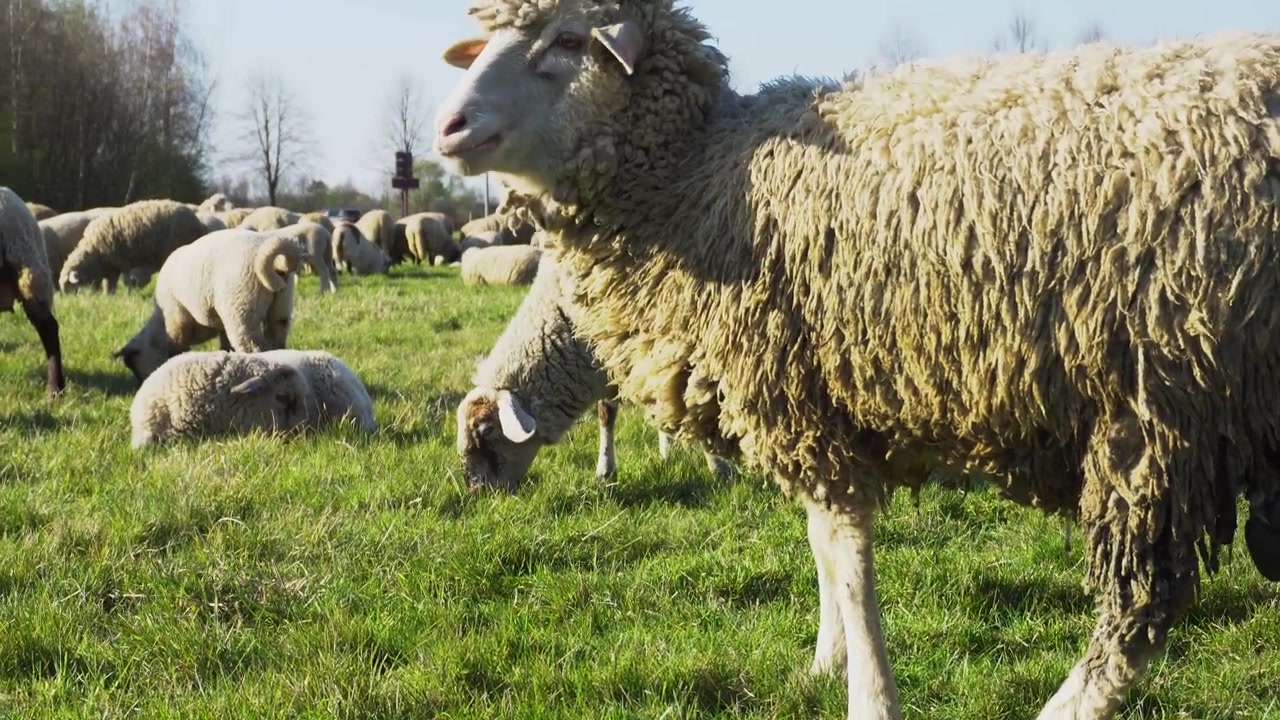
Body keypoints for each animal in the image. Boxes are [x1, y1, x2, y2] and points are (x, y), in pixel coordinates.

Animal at [59, 199, 206, 294]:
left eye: (71, 288)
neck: (94, 252)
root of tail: (197, 222)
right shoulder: (112, 267)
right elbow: (110, 284)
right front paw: (109, 296)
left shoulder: (122, 262)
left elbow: (123, 280)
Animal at [114, 228, 302, 384]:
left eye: (132, 365)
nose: (140, 385)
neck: (160, 325)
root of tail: (271, 258)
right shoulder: (222, 322)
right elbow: (226, 346)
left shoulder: (177, 317)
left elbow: (177, 349)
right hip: (280, 309)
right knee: (277, 341)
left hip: (242, 311)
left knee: (256, 348)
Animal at [460, 251, 729, 490]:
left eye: (486, 429)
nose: (477, 490)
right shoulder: (608, 362)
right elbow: (607, 415)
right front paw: (605, 472)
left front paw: (720, 468)